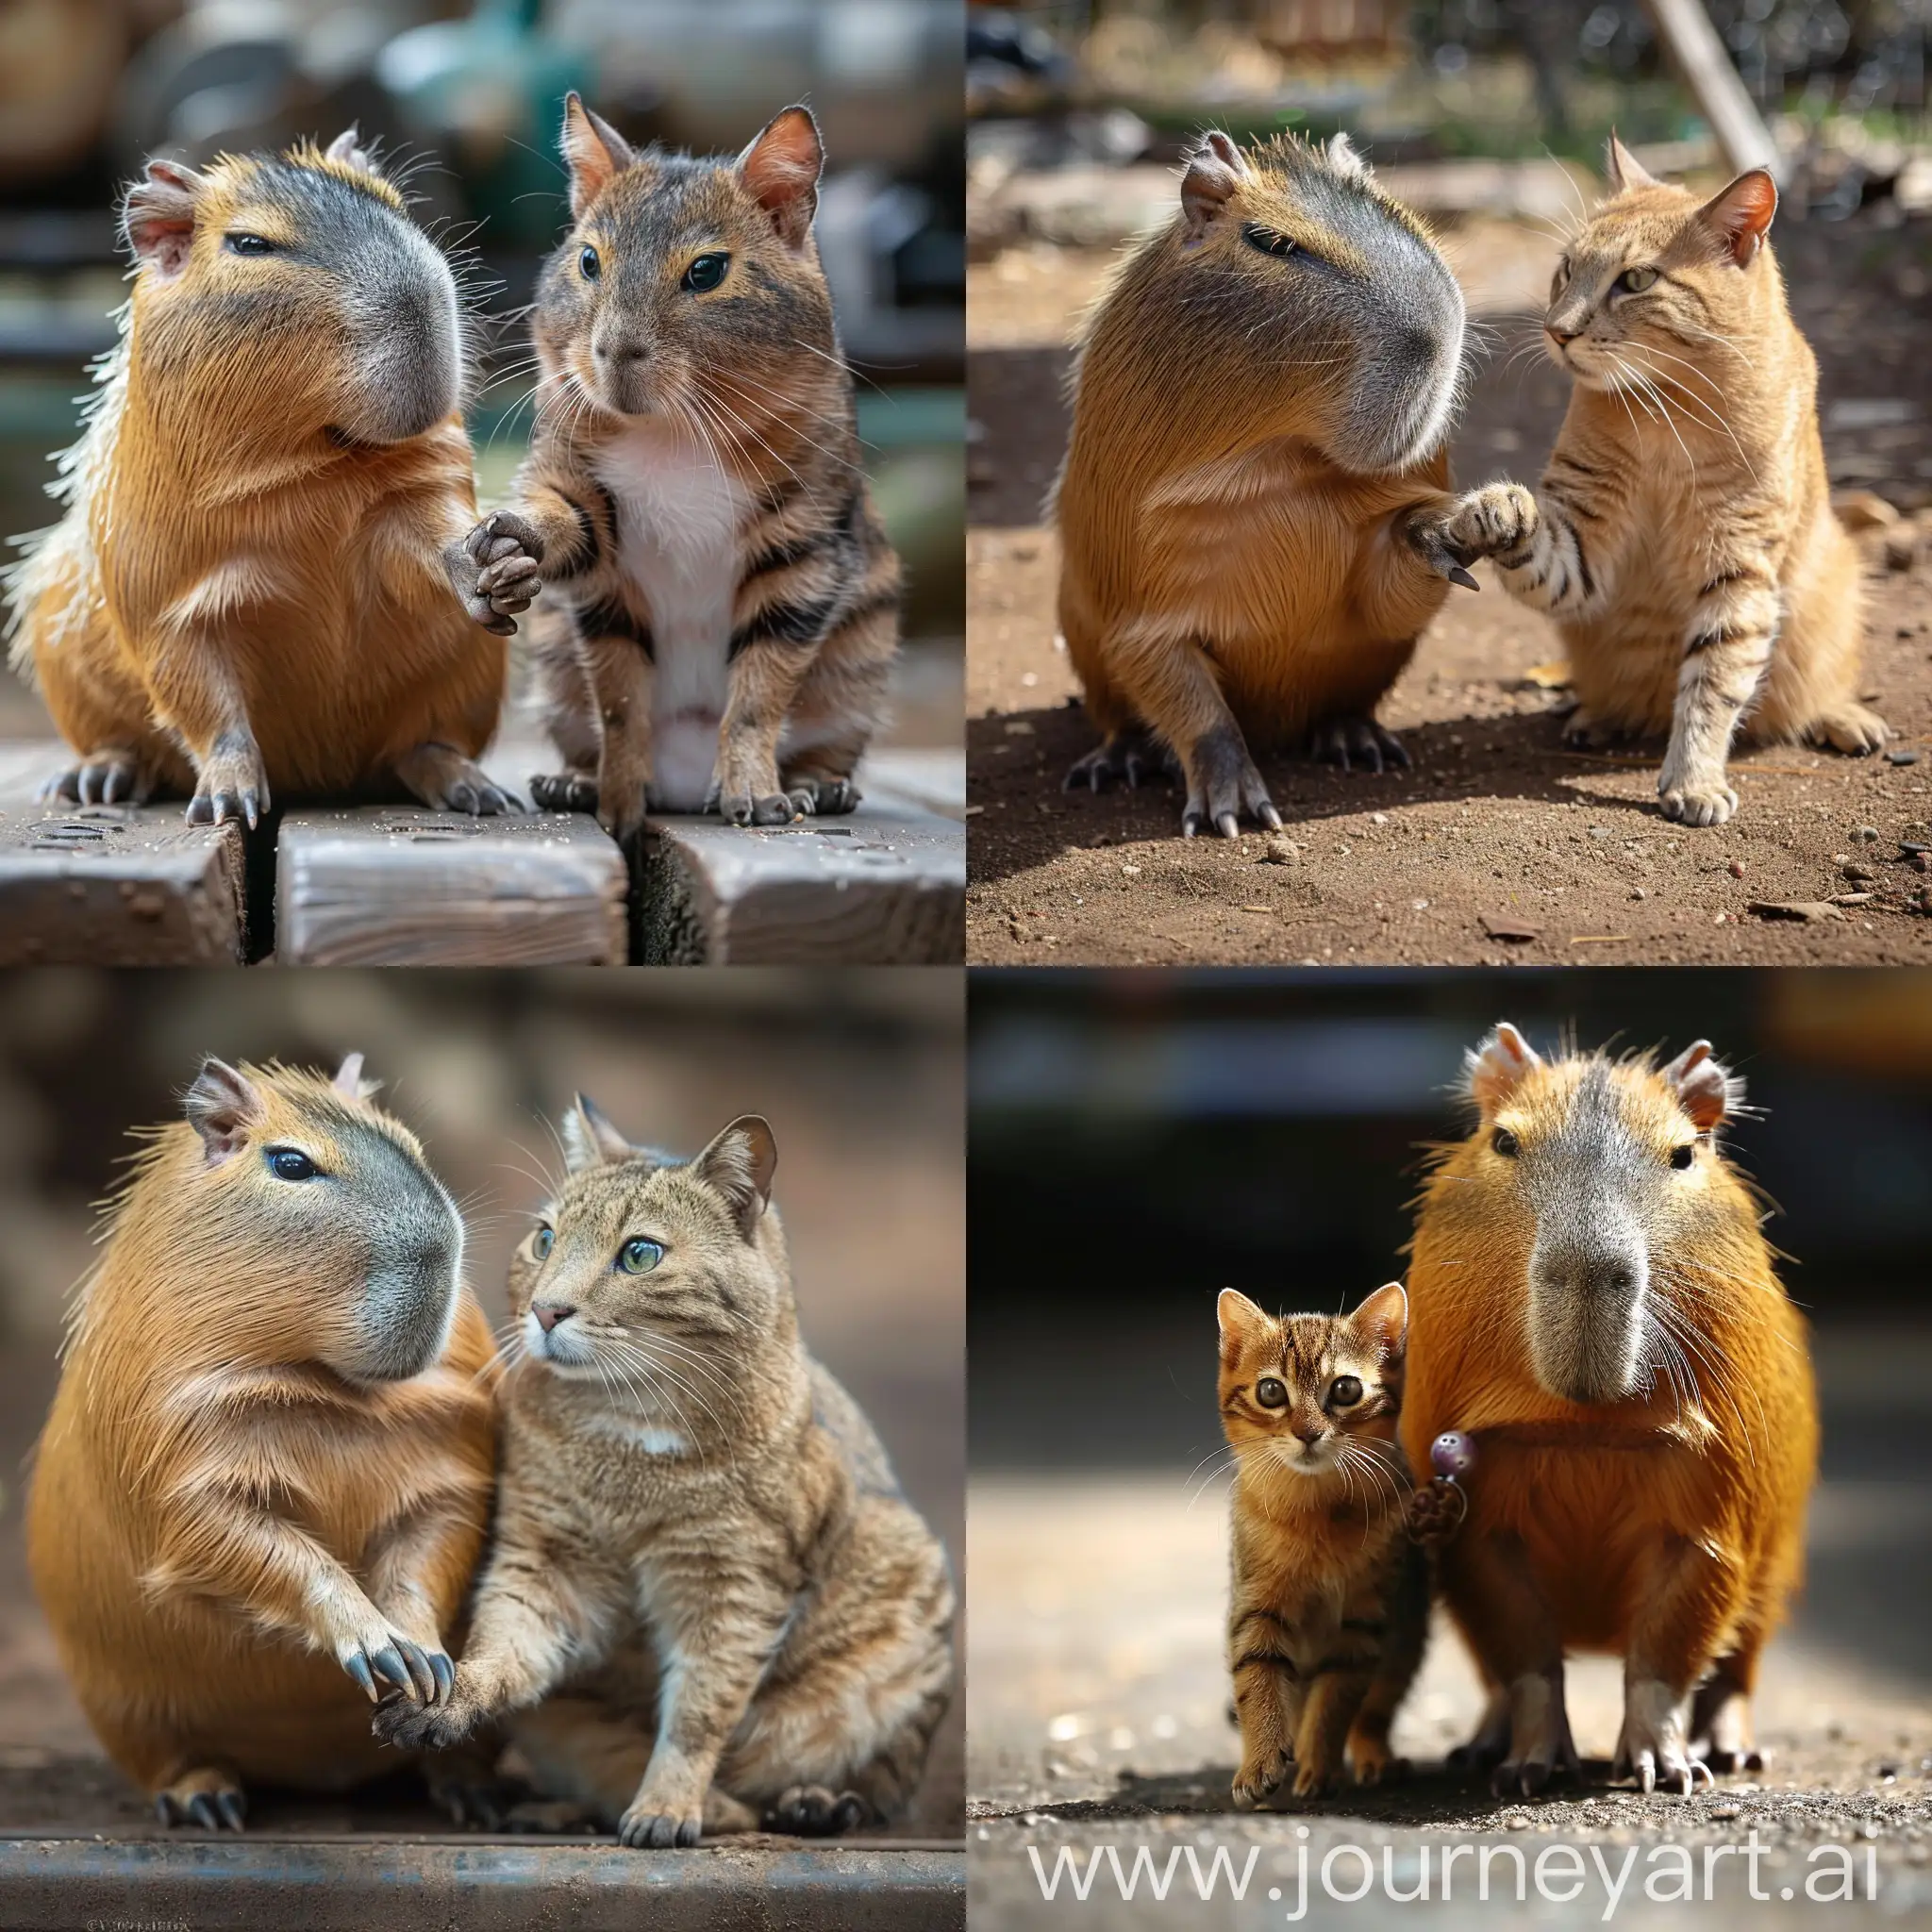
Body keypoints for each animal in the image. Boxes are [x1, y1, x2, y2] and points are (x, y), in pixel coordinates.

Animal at [369, 1105, 950, 1839]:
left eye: (640, 1254)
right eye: (545, 1239)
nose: (545, 1309)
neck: (624, 1434)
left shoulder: (731, 1588)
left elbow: (699, 1715)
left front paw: (668, 1804)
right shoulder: (547, 1561)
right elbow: (502, 1648)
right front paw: (452, 1699)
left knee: (858, 1784)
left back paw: (811, 1802)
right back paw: (541, 1807)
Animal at [454, 95, 904, 838]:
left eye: (707, 272)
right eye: (587, 259)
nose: (614, 352)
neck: (673, 430)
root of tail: (685, 786)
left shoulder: (802, 541)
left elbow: (759, 688)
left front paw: (755, 789)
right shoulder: (595, 525)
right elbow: (618, 698)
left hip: (857, 667)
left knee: (823, 746)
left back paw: (817, 786)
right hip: (557, 663)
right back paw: (577, 781)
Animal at [1213, 1274, 1429, 1800]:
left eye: (1346, 1389)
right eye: (1271, 1391)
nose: (1308, 1433)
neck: (1315, 1514)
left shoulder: (1364, 1622)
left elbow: (1336, 1701)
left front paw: (1318, 1766)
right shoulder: (1256, 1606)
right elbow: (1257, 1678)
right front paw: (1260, 1762)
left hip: (1404, 1644)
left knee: (1371, 1715)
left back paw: (1374, 1758)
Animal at [1453, 134, 1885, 830]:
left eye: (1636, 280)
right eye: (1566, 268)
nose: (1556, 330)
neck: (1665, 413)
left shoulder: (1740, 567)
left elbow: (1716, 678)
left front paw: (1694, 779)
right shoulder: (1584, 550)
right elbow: (1540, 551)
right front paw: (1498, 512)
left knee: (1811, 688)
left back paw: (1842, 717)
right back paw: (1595, 717)